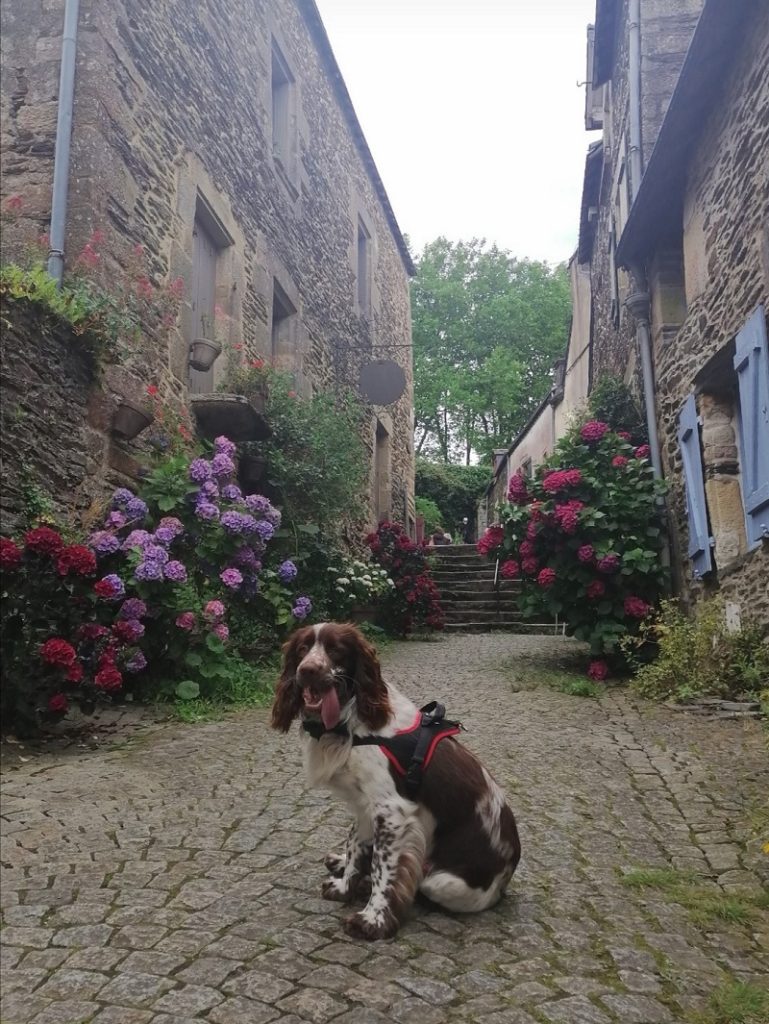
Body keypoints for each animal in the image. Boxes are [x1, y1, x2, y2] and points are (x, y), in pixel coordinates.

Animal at [272, 618, 524, 937]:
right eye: (303, 649)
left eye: (336, 649)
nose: (307, 670)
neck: (352, 723)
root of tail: (504, 882)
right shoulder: (366, 806)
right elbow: (355, 845)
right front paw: (345, 886)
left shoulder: (392, 811)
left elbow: (383, 867)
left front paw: (373, 919)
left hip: (444, 882)